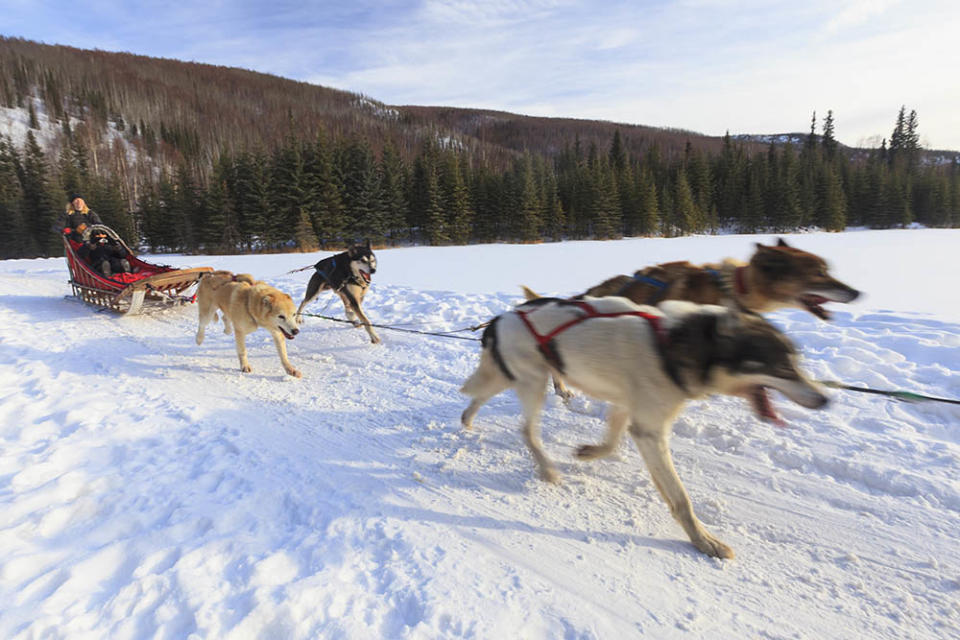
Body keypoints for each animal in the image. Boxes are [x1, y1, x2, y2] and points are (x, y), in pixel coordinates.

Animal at [458, 298, 824, 556]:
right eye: (782, 367)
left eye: (797, 361)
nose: (824, 399)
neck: (669, 347)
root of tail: (502, 318)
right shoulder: (650, 431)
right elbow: (680, 498)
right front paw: (704, 541)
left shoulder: (627, 408)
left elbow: (612, 442)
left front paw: (589, 453)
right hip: (533, 383)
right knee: (526, 430)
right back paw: (546, 469)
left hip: (515, 377)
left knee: (480, 394)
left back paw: (468, 419)